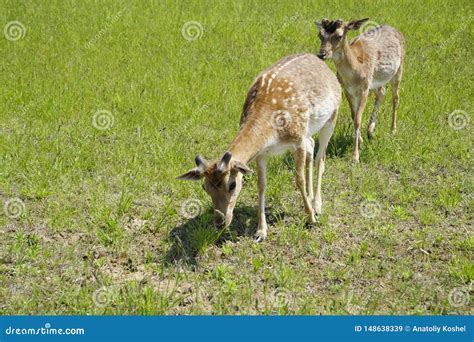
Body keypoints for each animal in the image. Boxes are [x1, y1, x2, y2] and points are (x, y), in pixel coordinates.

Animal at [177, 52, 340, 240]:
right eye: (204, 187)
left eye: (232, 185)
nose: (219, 223)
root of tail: (321, 61)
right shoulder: (262, 154)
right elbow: (261, 185)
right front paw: (261, 231)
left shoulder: (297, 139)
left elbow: (298, 179)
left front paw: (310, 218)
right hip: (309, 131)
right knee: (312, 146)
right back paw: (312, 197)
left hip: (331, 118)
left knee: (321, 157)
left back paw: (317, 205)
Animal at [314, 18, 404, 163]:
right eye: (320, 34)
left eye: (339, 36)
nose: (322, 54)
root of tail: (396, 30)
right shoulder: (347, 90)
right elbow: (353, 115)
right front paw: (361, 140)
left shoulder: (364, 89)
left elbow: (357, 119)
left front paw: (355, 157)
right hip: (377, 80)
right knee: (382, 93)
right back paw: (370, 131)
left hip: (399, 69)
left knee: (395, 98)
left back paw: (392, 130)